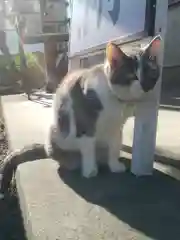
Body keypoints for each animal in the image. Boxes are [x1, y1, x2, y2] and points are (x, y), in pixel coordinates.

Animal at [0, 35, 161, 197]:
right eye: (132, 76)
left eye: (151, 74)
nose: (146, 87)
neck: (116, 102)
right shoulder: (84, 122)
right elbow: (88, 146)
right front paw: (90, 170)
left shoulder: (116, 127)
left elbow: (114, 146)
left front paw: (114, 165)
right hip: (56, 131)